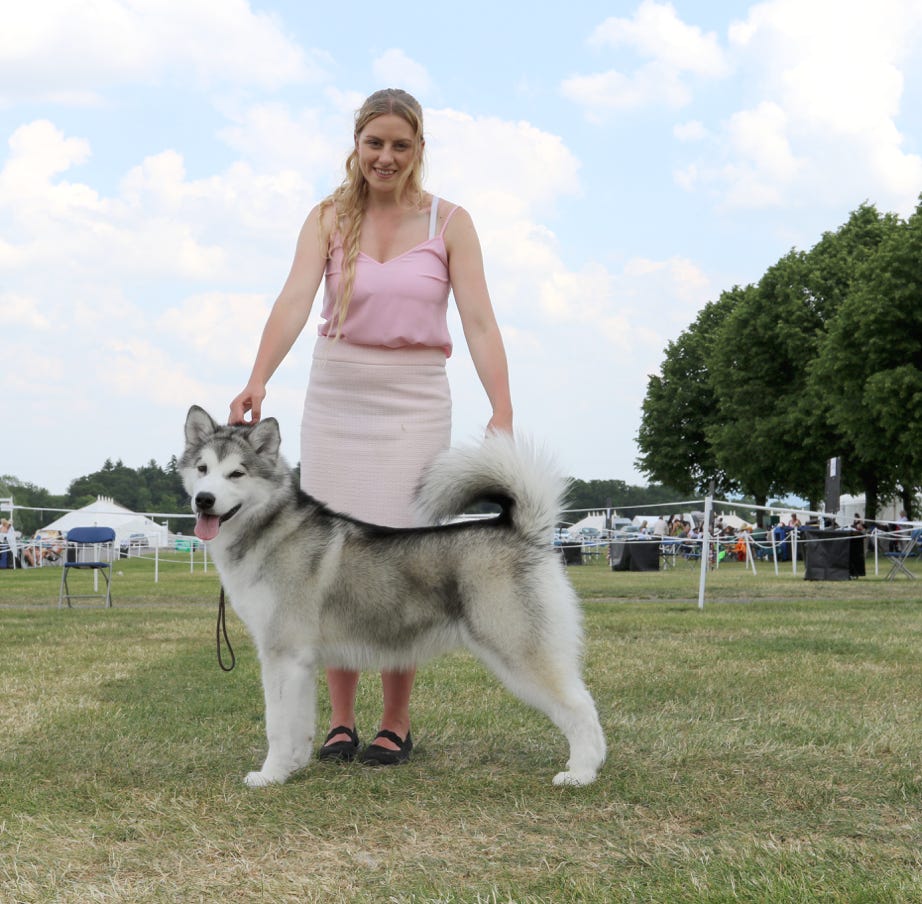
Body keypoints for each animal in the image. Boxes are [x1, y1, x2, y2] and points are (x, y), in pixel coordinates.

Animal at [180, 405, 606, 787]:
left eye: (236, 473)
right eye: (202, 469)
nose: (204, 500)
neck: (270, 530)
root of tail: (521, 529)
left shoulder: (280, 654)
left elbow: (277, 725)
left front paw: (269, 775)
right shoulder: (298, 661)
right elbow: (298, 723)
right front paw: (294, 766)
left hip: (519, 649)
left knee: (581, 706)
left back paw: (581, 773)